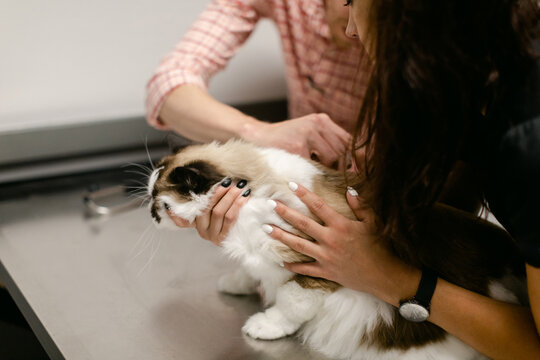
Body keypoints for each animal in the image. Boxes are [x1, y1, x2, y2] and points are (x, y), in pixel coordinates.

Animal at [146, 140, 524, 360]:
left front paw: (264, 325)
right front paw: (238, 284)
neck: (260, 191)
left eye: (159, 204)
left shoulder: (315, 269)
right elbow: (251, 270)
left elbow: (290, 303)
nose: (150, 214)